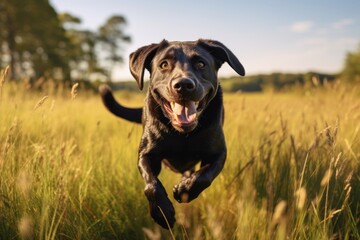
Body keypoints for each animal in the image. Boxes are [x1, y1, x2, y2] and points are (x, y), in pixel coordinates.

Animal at [100, 39, 243, 229]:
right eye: (164, 64)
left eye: (201, 63)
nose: (183, 85)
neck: (182, 134)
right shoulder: (146, 154)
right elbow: (151, 184)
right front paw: (162, 212)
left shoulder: (218, 153)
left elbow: (204, 176)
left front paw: (185, 189)